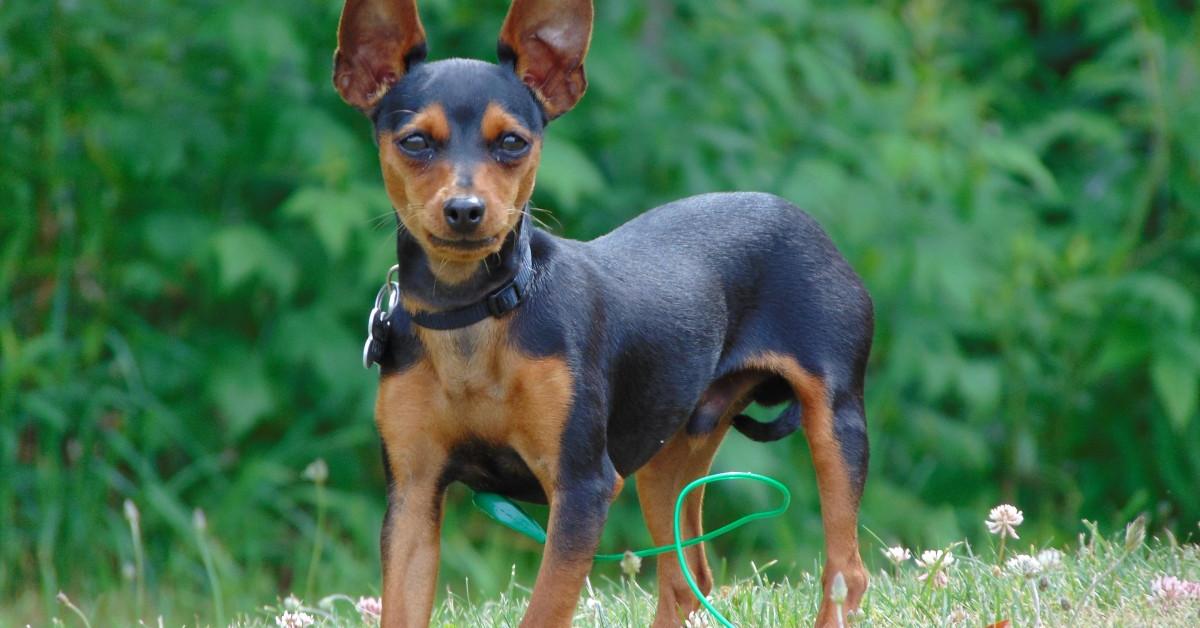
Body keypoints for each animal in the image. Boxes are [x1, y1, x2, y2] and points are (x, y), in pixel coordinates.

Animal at [333, 2, 878, 624]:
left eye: (513, 142)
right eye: (416, 141)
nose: (465, 210)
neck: (474, 314)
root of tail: (806, 222)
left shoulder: (583, 487)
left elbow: (544, 611)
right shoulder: (414, 493)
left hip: (835, 421)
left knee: (844, 572)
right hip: (667, 458)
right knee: (687, 580)